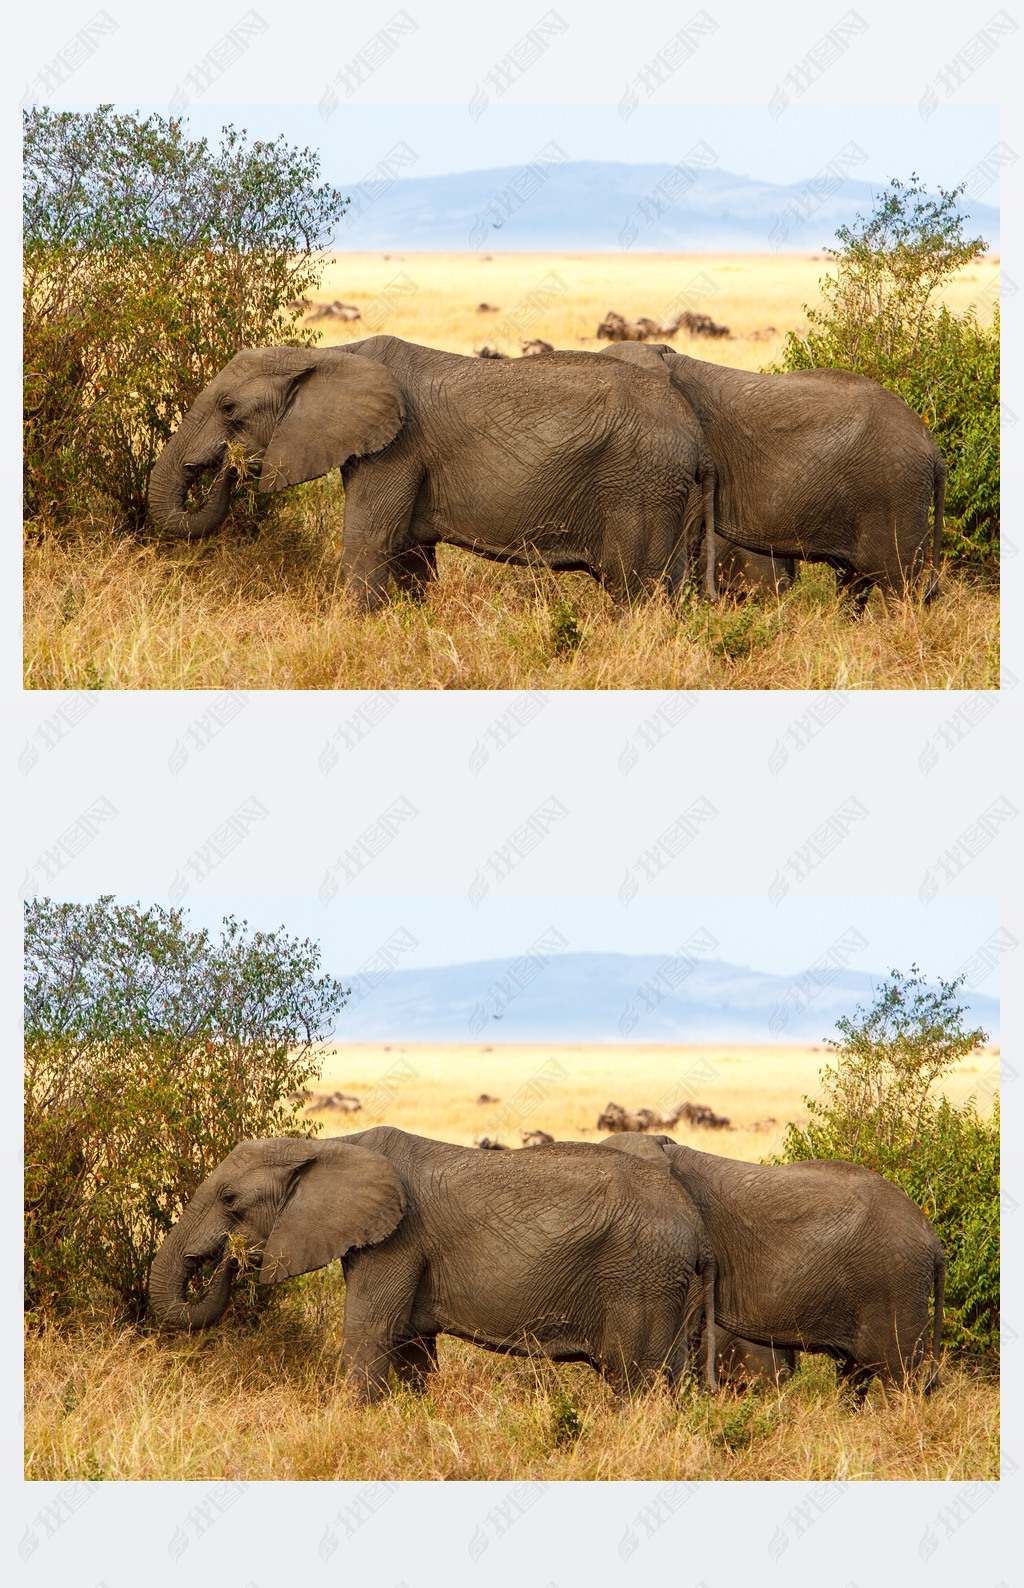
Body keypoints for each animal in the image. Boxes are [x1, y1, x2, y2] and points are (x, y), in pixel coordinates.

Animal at [146, 335, 717, 606]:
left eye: (228, 409)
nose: (230, 466)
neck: (329, 355)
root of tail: (696, 440)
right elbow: (409, 553)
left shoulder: (397, 448)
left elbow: (369, 541)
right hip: (668, 493)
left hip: (639, 486)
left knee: (633, 589)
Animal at [147, 1130, 714, 1403]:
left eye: (230, 1199)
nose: (232, 1257)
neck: (328, 1146)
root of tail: (696, 1228)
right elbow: (409, 1344)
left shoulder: (397, 1240)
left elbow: (370, 1333)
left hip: (639, 1276)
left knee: (635, 1378)